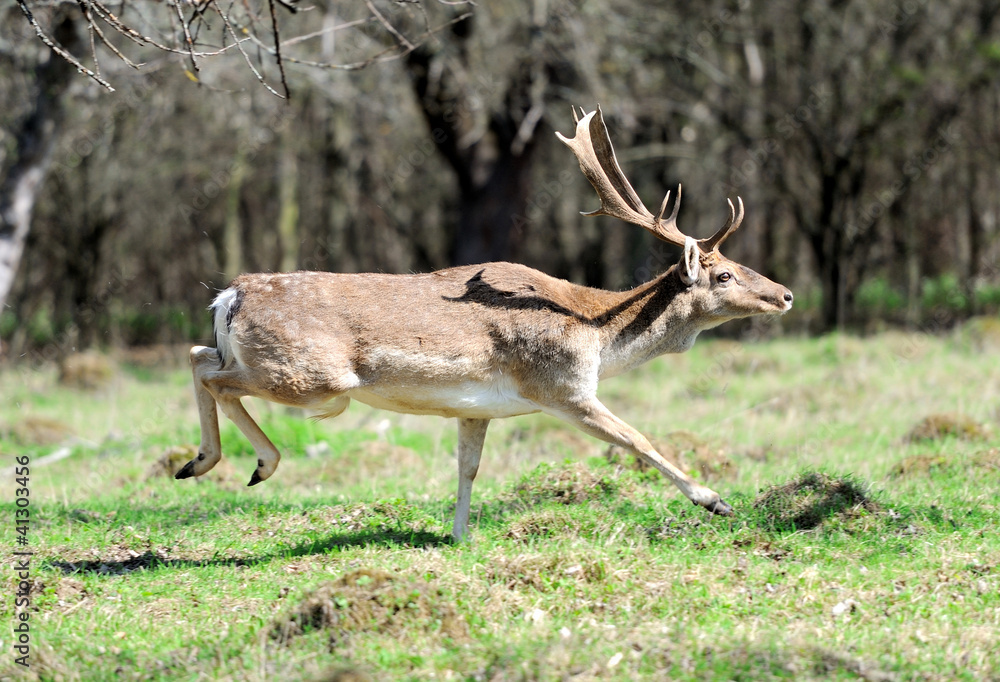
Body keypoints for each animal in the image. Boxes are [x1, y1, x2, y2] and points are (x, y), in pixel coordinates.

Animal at [176, 106, 792, 540]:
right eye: (724, 276)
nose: (785, 294)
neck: (595, 331)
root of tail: (230, 295)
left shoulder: (476, 410)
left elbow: (467, 468)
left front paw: (459, 537)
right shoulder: (563, 387)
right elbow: (637, 438)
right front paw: (715, 500)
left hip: (283, 368)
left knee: (198, 355)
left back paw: (204, 463)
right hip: (318, 380)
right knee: (213, 374)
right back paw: (247, 464)